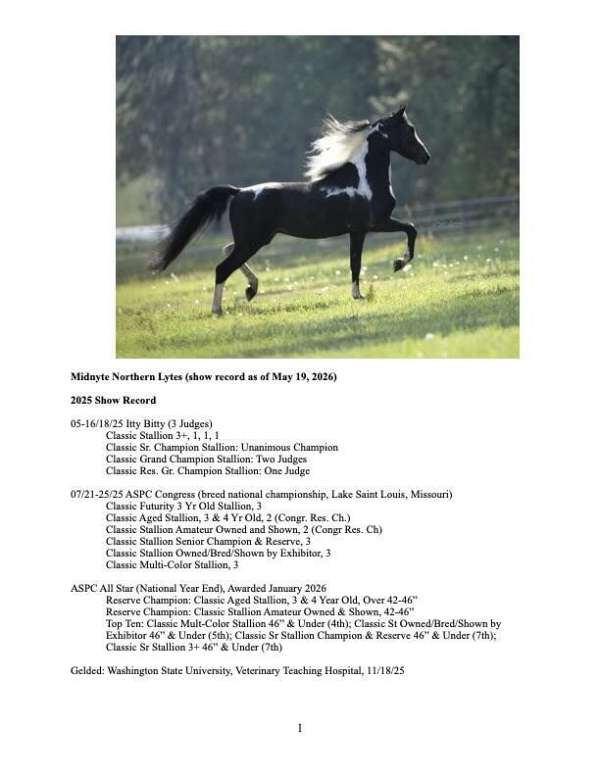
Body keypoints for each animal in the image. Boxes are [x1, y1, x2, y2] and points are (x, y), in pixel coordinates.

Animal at [150, 106, 430, 315]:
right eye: (409, 129)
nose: (425, 157)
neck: (364, 180)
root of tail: (238, 192)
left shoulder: (361, 230)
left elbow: (359, 260)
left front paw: (362, 291)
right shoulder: (373, 224)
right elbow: (407, 232)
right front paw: (394, 267)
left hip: (254, 239)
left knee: (227, 251)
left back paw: (251, 290)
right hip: (253, 240)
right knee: (222, 267)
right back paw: (219, 309)